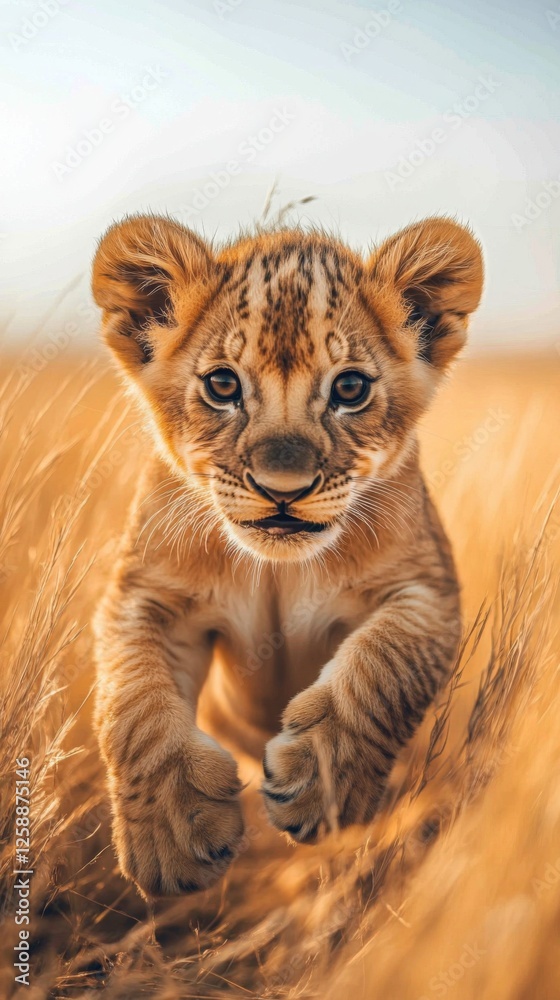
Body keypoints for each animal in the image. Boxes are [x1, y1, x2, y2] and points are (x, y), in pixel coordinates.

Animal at [91, 214, 483, 897]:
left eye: (349, 388)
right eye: (223, 384)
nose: (282, 488)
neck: (276, 568)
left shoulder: (427, 589)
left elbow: (382, 668)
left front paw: (320, 785)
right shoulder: (143, 596)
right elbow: (134, 704)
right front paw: (172, 836)